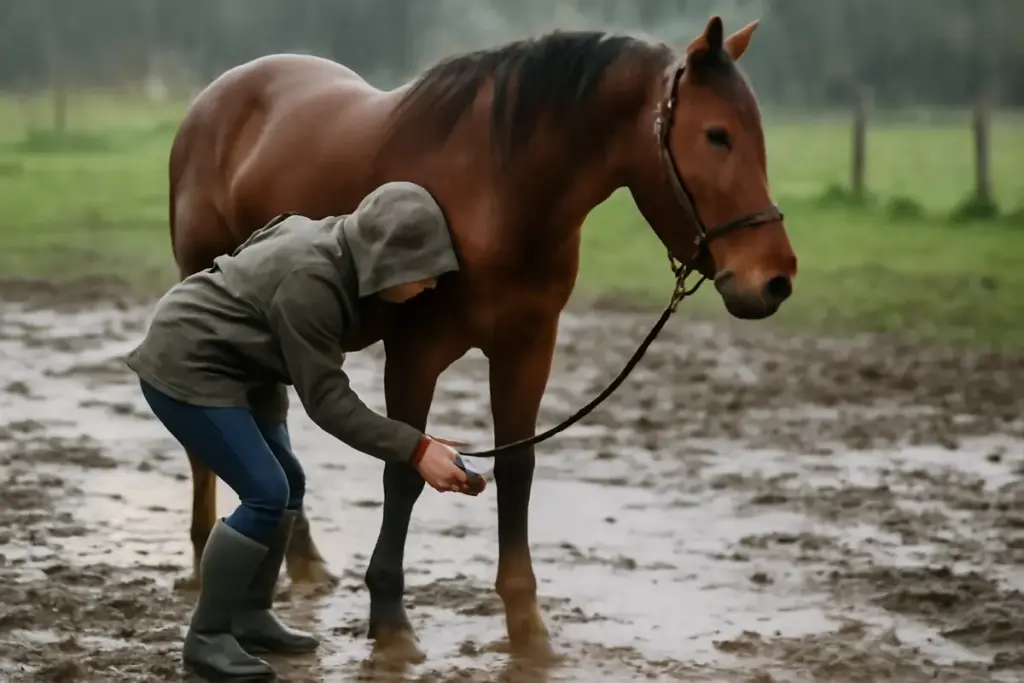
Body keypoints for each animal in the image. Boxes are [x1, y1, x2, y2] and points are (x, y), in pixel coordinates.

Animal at [168, 15, 796, 661]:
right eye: (717, 135)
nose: (773, 280)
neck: (497, 192)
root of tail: (216, 98)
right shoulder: (415, 355)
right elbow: (404, 472)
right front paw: (391, 622)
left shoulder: (527, 349)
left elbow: (517, 470)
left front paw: (527, 627)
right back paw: (203, 551)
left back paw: (305, 560)